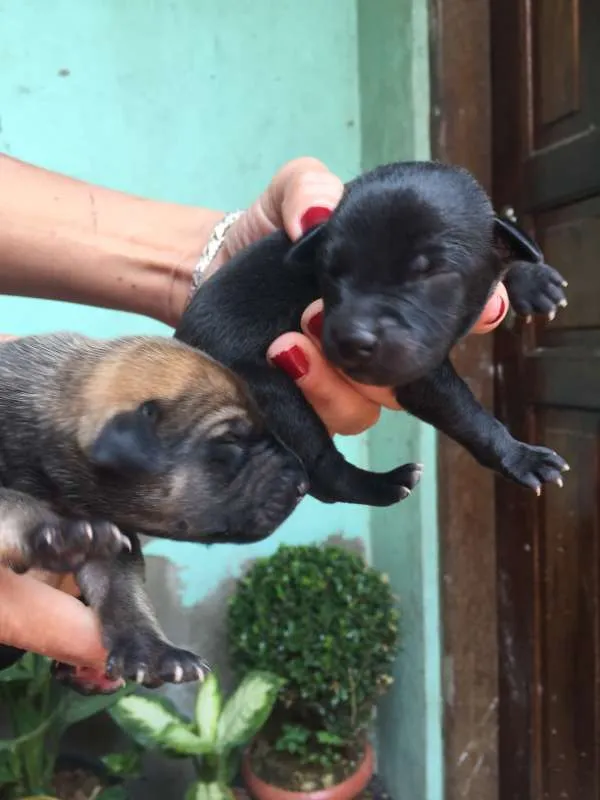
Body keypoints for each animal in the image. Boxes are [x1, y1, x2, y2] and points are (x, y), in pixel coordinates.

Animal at [176, 159, 568, 504]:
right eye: (330, 271)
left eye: (430, 273)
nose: (351, 340)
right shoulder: (419, 373)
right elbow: (468, 416)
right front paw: (520, 455)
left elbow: (506, 241)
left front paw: (532, 279)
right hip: (270, 393)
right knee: (322, 471)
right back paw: (383, 484)